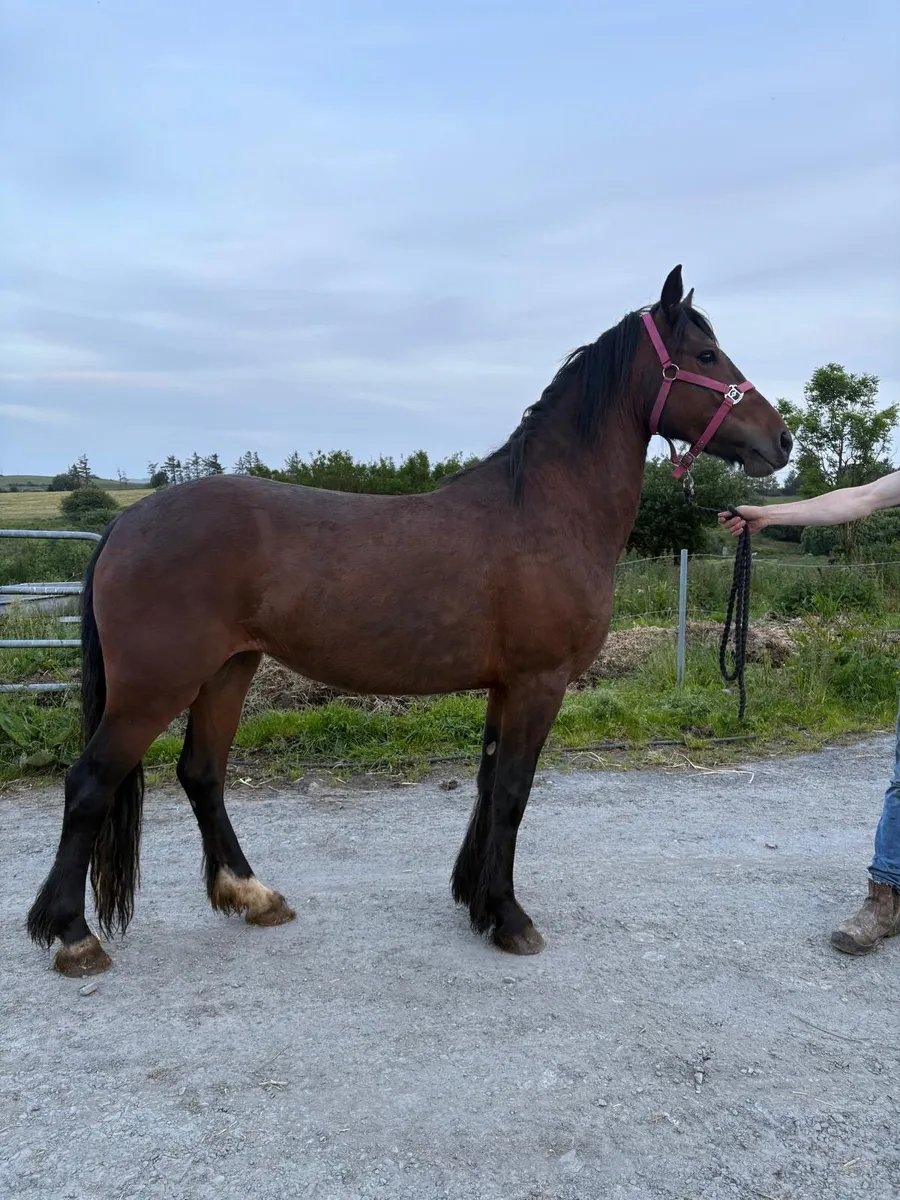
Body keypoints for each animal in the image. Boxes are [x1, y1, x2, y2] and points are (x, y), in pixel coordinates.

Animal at [27, 265, 792, 977]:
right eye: (705, 354)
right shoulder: (539, 683)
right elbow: (512, 792)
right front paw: (509, 917)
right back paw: (74, 935)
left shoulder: (506, 686)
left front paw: (476, 901)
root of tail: (127, 521)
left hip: (226, 671)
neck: (545, 511)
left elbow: (487, 784)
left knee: (202, 775)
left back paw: (252, 895)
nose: (780, 440)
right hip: (155, 685)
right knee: (90, 784)